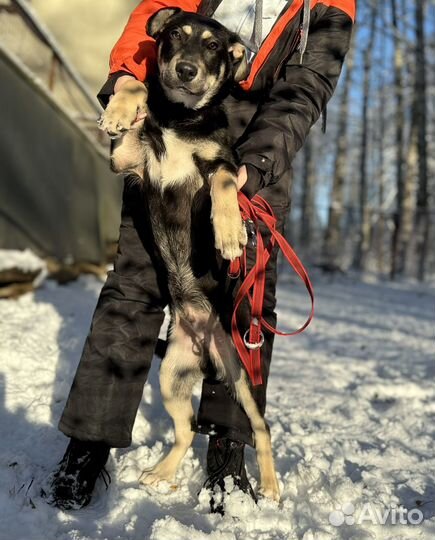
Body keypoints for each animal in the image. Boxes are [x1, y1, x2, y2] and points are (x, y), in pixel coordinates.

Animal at [99, 7, 280, 502]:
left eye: (214, 46)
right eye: (176, 35)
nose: (185, 71)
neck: (182, 119)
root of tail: (206, 344)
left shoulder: (219, 166)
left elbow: (224, 181)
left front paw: (230, 232)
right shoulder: (127, 162)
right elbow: (138, 88)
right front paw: (120, 110)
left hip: (243, 377)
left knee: (260, 429)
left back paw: (271, 485)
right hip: (171, 376)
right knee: (186, 430)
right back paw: (161, 474)